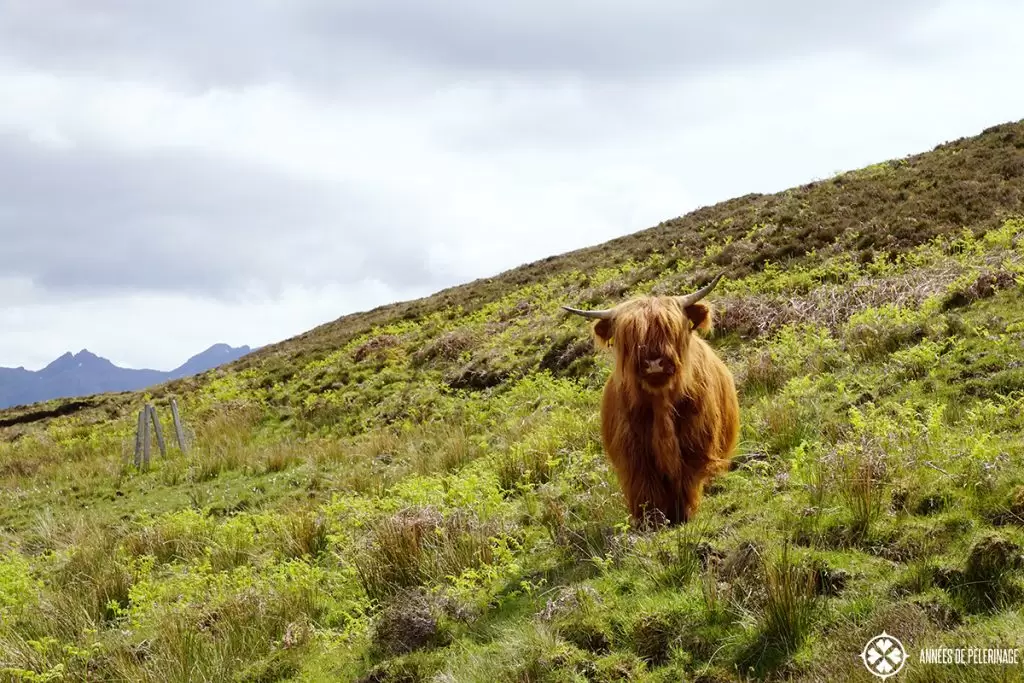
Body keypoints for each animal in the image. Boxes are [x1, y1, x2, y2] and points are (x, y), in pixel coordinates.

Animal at [565, 274, 741, 528]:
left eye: (670, 328)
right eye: (629, 336)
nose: (654, 362)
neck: (661, 403)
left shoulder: (694, 440)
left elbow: (686, 478)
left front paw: (683, 515)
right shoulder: (633, 449)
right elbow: (645, 486)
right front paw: (651, 522)